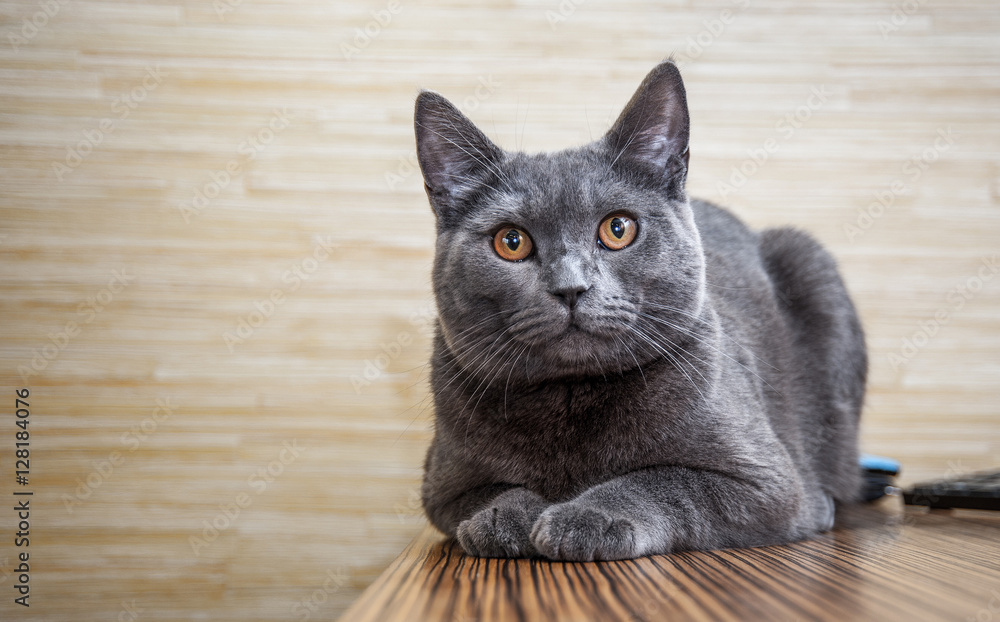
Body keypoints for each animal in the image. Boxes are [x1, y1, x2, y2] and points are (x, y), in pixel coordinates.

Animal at [410, 61, 864, 564]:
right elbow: (490, 491)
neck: (572, 396)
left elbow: (662, 479)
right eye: (511, 242)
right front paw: (501, 518)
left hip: (809, 262)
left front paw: (586, 516)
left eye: (618, 229)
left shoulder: (769, 484)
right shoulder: (441, 488)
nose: (571, 287)